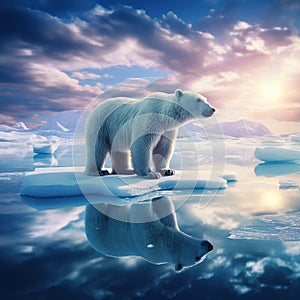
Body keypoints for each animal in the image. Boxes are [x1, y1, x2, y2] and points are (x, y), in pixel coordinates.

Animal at [84, 88, 216, 178]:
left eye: (205, 99)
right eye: (198, 100)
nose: (212, 109)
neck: (164, 114)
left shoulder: (167, 129)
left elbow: (163, 147)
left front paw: (167, 170)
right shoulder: (150, 118)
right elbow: (142, 143)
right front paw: (150, 173)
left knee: (119, 150)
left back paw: (126, 170)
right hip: (101, 124)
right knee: (96, 147)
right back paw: (98, 171)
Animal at [85, 196, 213, 270]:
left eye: (197, 258)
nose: (209, 246)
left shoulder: (151, 244)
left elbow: (145, 218)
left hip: (99, 230)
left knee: (97, 212)